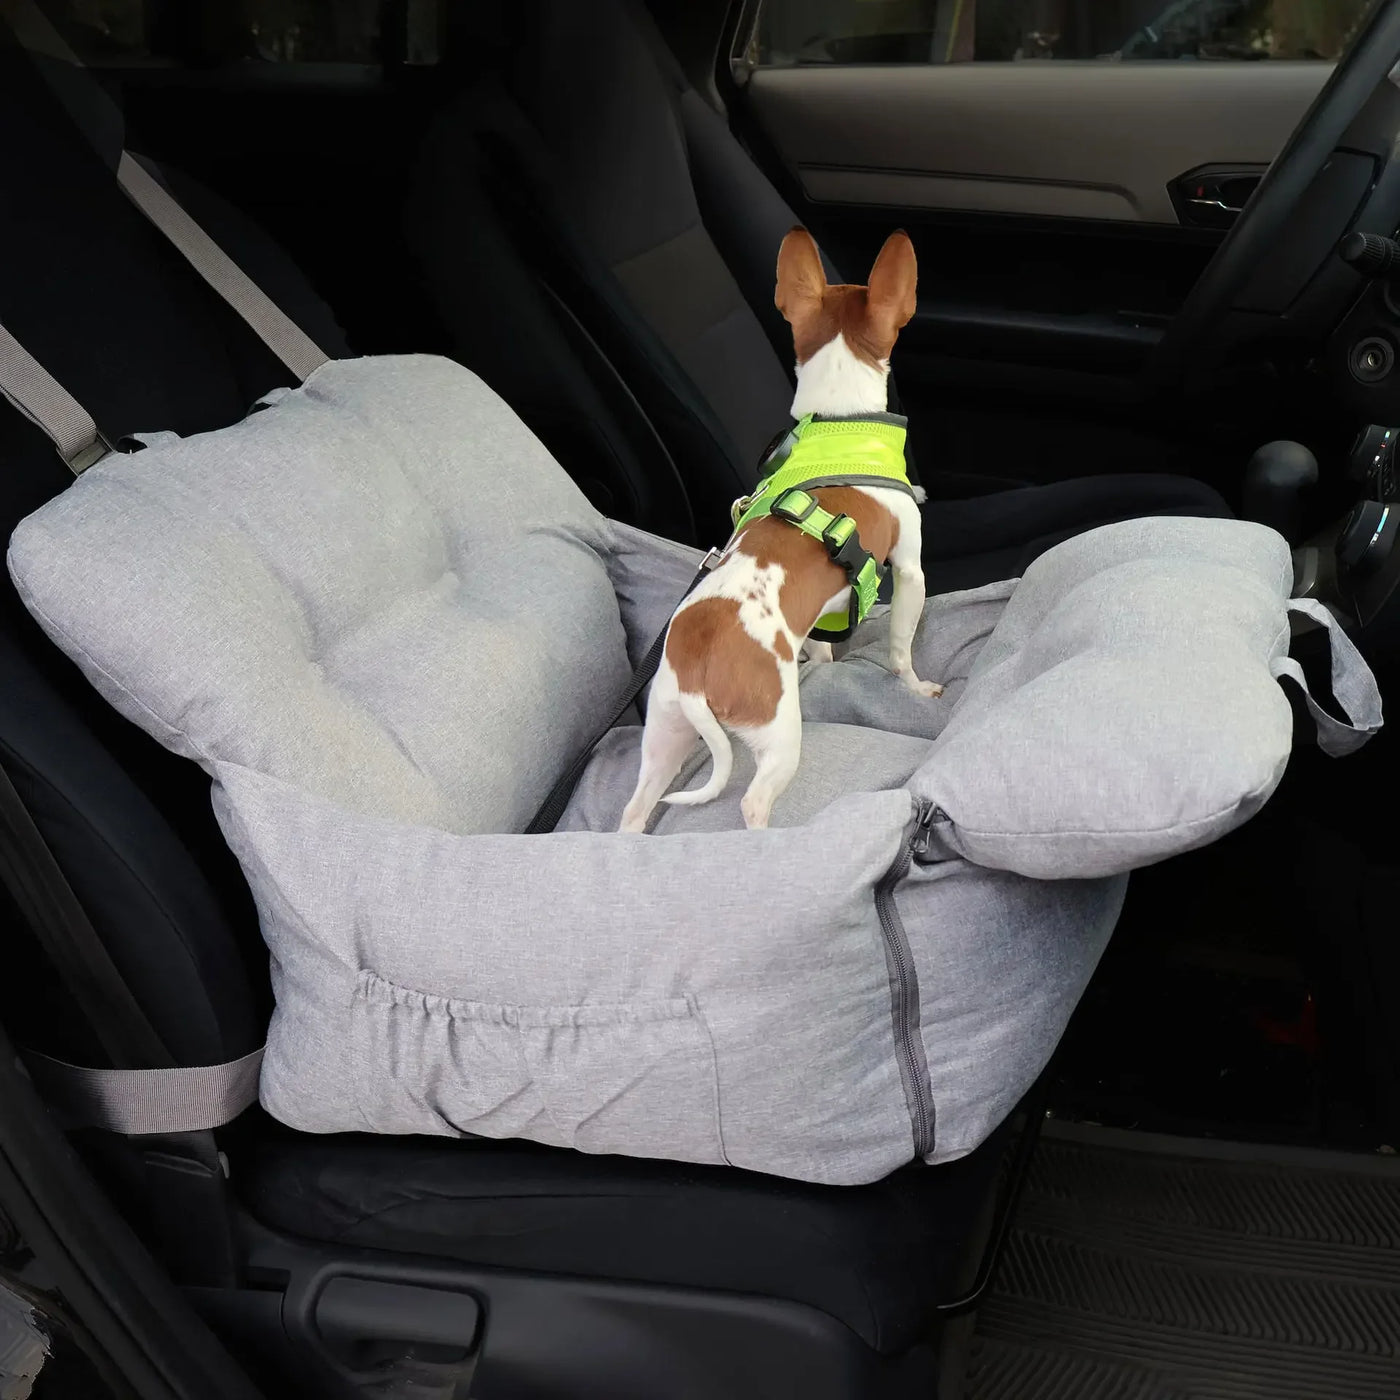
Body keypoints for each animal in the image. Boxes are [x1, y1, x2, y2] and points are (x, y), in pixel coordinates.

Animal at [616, 222, 935, 823]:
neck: (837, 424)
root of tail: (694, 674)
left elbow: (823, 644)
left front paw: (823, 658)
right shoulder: (909, 571)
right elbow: (902, 648)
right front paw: (918, 687)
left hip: (666, 733)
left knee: (633, 811)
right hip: (778, 735)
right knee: (753, 800)